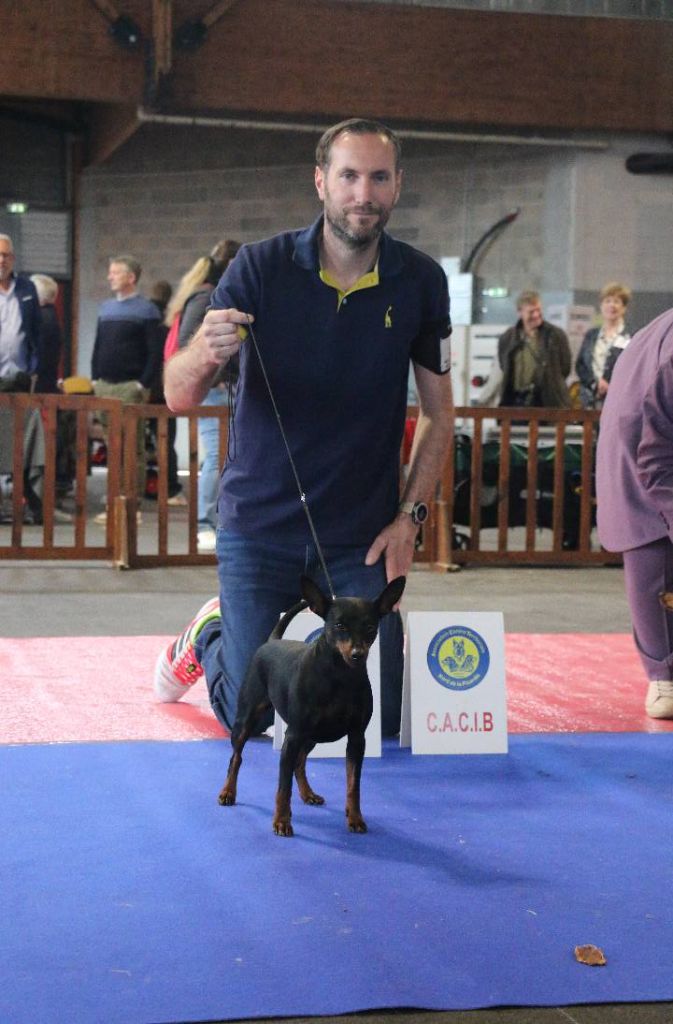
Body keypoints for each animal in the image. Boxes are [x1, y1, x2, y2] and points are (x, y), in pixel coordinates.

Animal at [218, 573, 406, 837]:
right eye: (339, 626)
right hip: (247, 719)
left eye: (370, 627)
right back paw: (228, 792)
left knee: (300, 763)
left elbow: (353, 785)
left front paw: (355, 817)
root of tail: (272, 640)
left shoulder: (357, 739)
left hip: (313, 736)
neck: (339, 677)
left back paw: (308, 794)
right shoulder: (293, 736)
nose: (357, 654)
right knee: (236, 757)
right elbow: (282, 787)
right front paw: (281, 821)